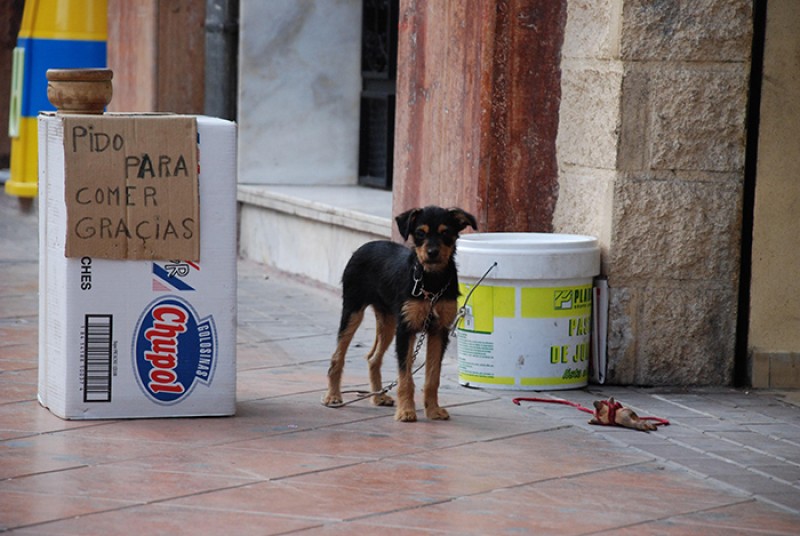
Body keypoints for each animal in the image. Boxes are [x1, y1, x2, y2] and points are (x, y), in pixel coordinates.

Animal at [324, 207, 478, 420]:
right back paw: (333, 396)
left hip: (388, 322)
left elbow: (433, 377)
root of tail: (365, 246)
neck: (431, 281)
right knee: (337, 356)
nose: (432, 253)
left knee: (373, 359)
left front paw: (433, 410)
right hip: (353, 311)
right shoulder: (406, 330)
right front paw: (406, 411)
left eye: (445, 232)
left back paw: (379, 397)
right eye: (420, 233)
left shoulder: (438, 331)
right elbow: (405, 377)